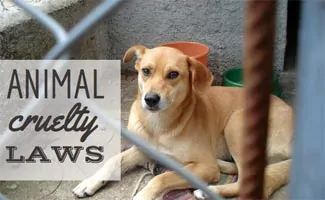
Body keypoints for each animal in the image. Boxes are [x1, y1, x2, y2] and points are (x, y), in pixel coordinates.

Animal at [72, 45, 292, 200]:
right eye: (146, 71)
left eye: (173, 74)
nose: (150, 99)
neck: (159, 126)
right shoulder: (144, 149)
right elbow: (114, 160)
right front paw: (89, 182)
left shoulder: (205, 167)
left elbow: (161, 177)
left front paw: (143, 195)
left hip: (236, 123)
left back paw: (210, 191)